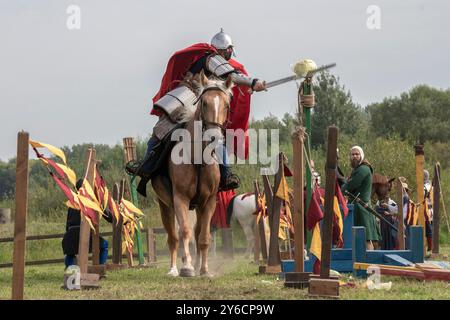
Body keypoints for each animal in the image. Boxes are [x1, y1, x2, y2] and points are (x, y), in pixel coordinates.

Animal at [152, 71, 234, 276]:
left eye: (226, 105)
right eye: (204, 103)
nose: (214, 137)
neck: (198, 160)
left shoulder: (209, 201)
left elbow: (203, 237)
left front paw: (204, 270)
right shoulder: (180, 199)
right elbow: (185, 232)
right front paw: (187, 267)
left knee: (196, 233)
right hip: (166, 205)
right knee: (173, 237)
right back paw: (174, 269)